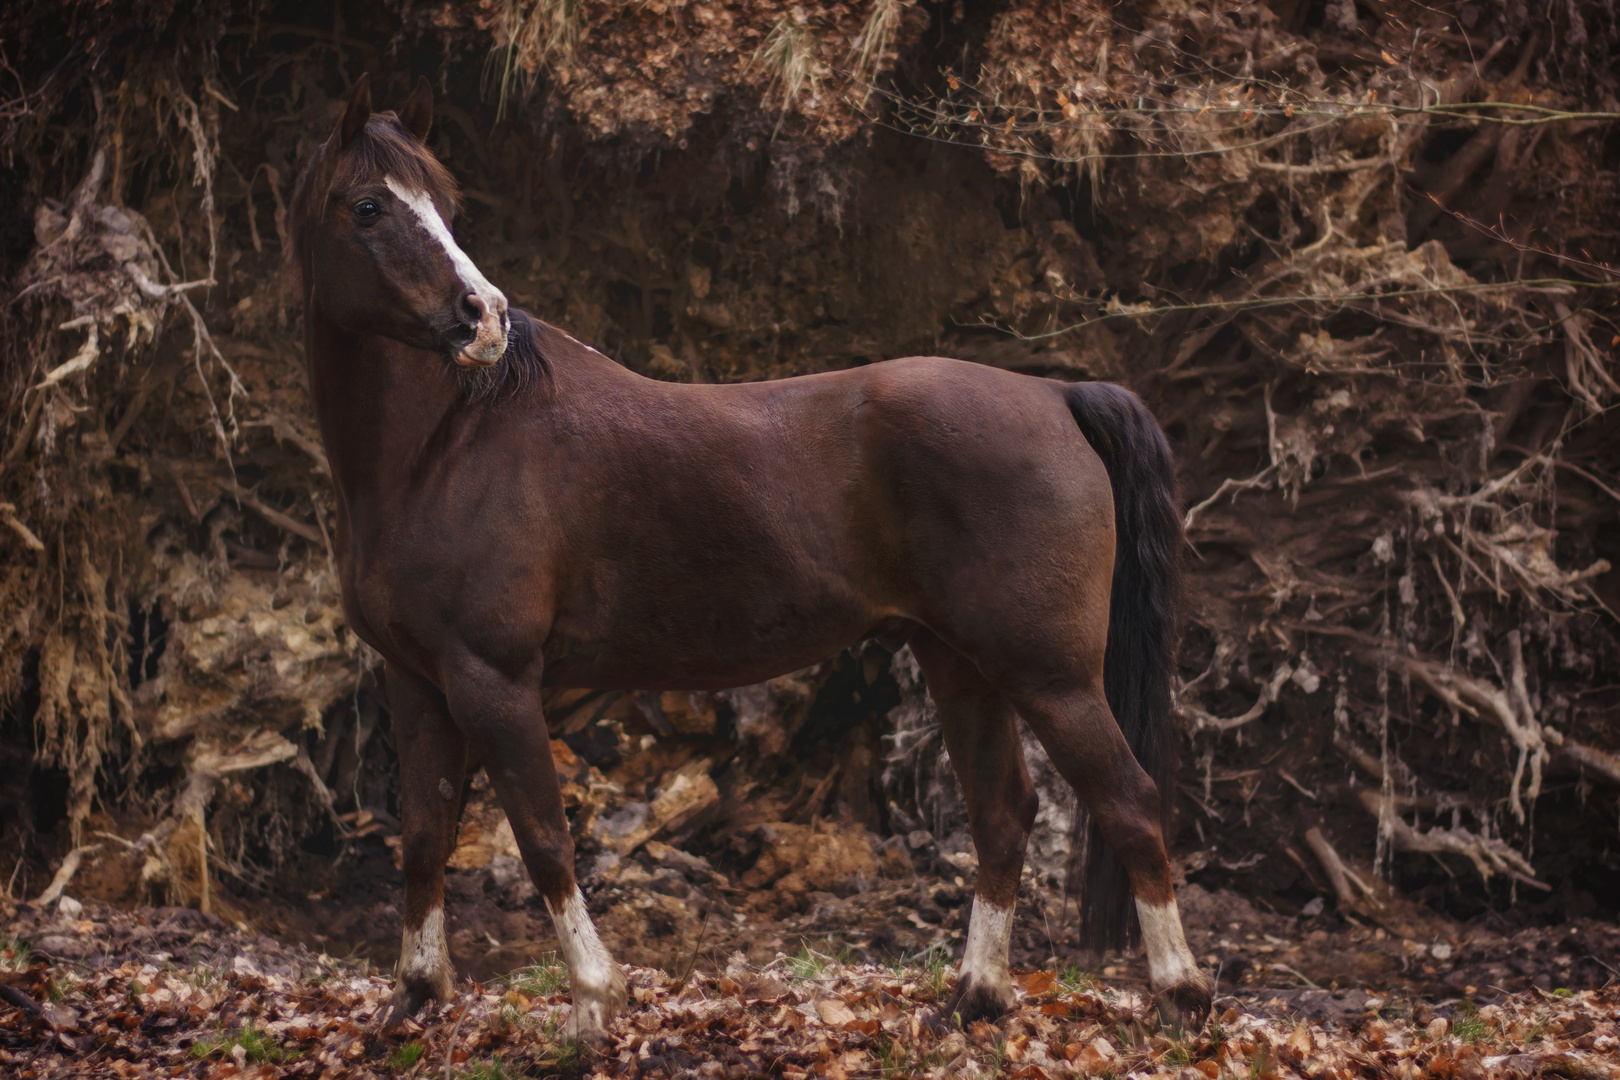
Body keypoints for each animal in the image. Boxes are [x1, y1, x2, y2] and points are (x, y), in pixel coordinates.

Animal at [288, 74, 1218, 1036]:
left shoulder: (492, 679)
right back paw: (977, 997)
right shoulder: (418, 681)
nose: (485, 319)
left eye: (444, 206)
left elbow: (544, 837)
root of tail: (1057, 394)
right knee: (1003, 815)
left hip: (1051, 675)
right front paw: (414, 995)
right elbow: (422, 837)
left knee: (1130, 802)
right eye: (368, 205)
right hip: (961, 664)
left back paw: (1180, 994)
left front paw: (594, 1001)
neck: (445, 448)